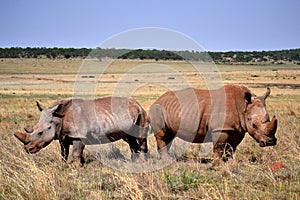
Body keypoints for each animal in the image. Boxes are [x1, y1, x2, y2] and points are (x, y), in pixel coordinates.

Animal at [14, 97, 148, 166]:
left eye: (40, 133)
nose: (28, 149)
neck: (57, 119)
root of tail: (138, 104)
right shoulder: (63, 135)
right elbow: (64, 152)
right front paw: (64, 165)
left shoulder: (77, 135)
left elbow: (76, 152)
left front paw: (75, 167)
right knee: (130, 139)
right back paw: (133, 162)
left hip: (140, 114)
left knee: (140, 137)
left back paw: (142, 163)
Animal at [149, 84, 278, 164]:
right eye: (254, 125)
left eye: (268, 119)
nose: (270, 142)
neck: (243, 106)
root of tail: (157, 100)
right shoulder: (221, 128)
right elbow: (219, 147)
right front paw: (217, 164)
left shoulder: (238, 129)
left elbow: (232, 147)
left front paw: (230, 162)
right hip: (157, 109)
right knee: (162, 135)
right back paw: (167, 160)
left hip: (168, 109)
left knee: (169, 135)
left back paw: (169, 159)